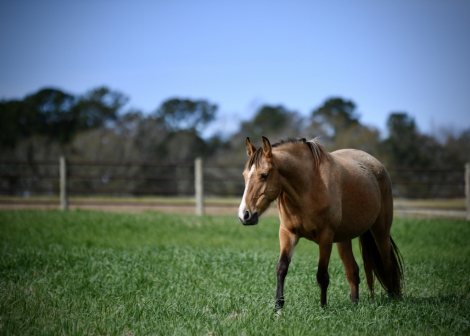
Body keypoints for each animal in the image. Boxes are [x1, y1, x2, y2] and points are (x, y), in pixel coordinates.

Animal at [239, 136, 404, 308]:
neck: (309, 186)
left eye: (264, 175)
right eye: (244, 175)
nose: (244, 215)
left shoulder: (326, 236)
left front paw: (323, 308)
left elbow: (322, 275)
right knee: (352, 271)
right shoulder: (287, 233)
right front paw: (278, 306)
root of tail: (377, 166)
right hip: (344, 239)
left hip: (381, 231)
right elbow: (281, 268)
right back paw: (354, 305)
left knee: (387, 264)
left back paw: (392, 299)